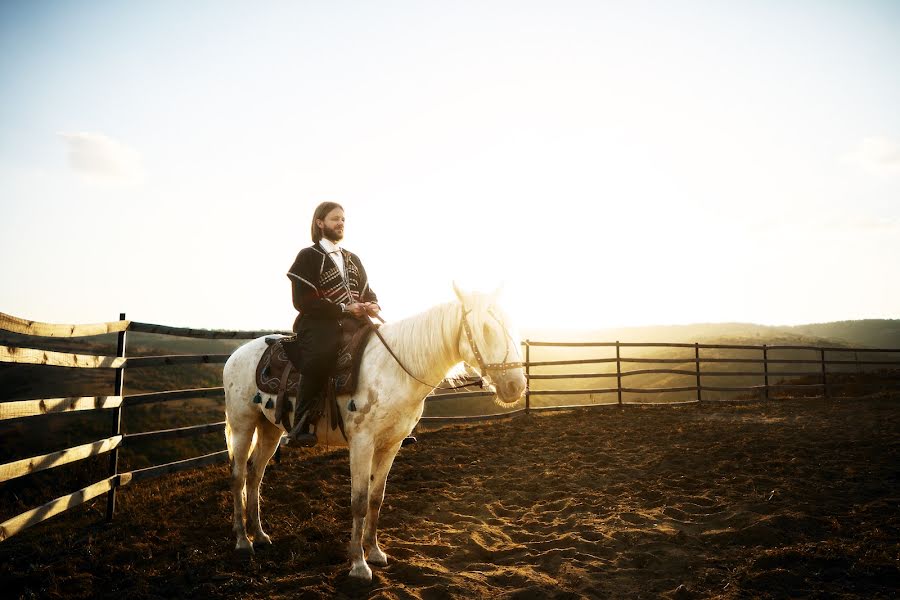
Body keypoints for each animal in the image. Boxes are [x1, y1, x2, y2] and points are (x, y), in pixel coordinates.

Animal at [222, 286, 528, 580]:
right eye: (485, 329)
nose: (515, 386)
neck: (395, 370)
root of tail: (236, 355)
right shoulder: (362, 443)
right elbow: (358, 501)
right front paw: (358, 564)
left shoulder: (390, 445)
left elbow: (375, 498)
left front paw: (375, 552)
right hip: (242, 424)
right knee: (238, 477)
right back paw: (243, 540)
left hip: (269, 429)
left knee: (255, 474)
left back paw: (260, 535)